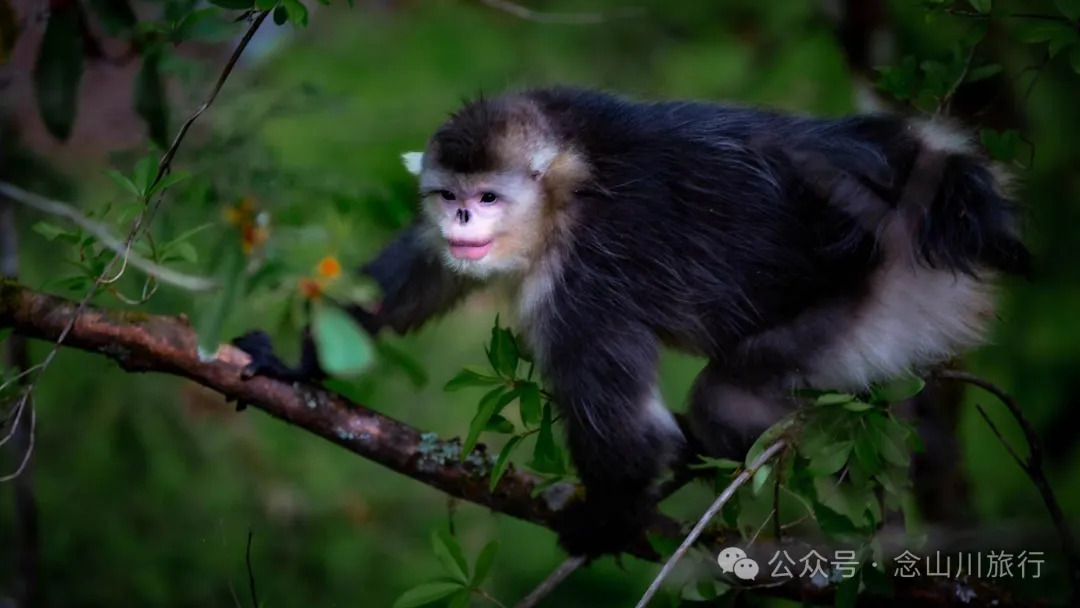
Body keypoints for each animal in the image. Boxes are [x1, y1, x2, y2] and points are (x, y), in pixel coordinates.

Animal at [231, 86, 1032, 562]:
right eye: (449, 196)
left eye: (488, 197)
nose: (462, 220)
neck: (564, 185)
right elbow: (419, 274)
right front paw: (300, 366)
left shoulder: (584, 277)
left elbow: (629, 435)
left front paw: (607, 519)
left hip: (876, 302)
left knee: (727, 400)